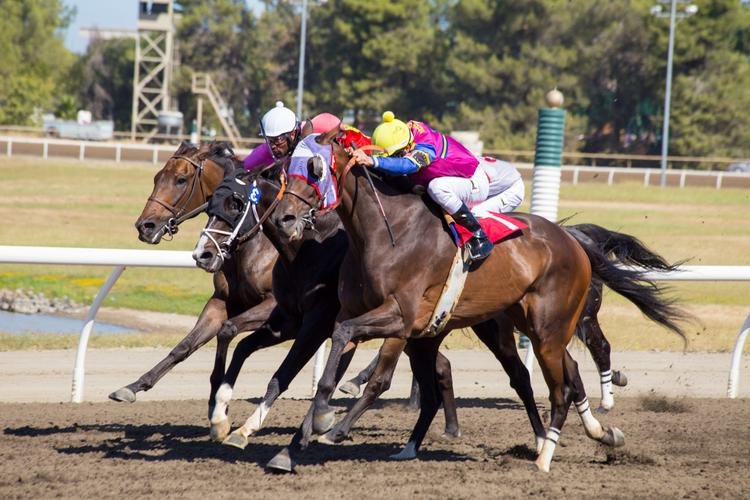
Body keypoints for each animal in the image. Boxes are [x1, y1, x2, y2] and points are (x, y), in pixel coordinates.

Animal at [266, 130, 688, 472]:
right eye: (285, 167)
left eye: (316, 167)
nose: (283, 218)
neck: (386, 234)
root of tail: (574, 241)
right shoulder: (359, 314)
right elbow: (332, 365)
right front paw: (292, 447)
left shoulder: (400, 318)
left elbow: (375, 376)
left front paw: (330, 427)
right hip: (527, 325)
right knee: (566, 373)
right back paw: (599, 433)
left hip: (546, 328)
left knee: (561, 383)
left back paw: (548, 453)